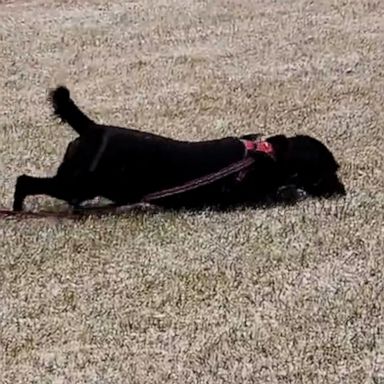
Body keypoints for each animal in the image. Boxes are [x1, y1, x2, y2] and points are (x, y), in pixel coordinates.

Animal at [12, 86, 344, 213]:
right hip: (76, 183)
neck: (269, 156)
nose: (343, 192)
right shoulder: (247, 200)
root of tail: (92, 128)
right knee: (24, 181)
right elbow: (282, 194)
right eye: (330, 170)